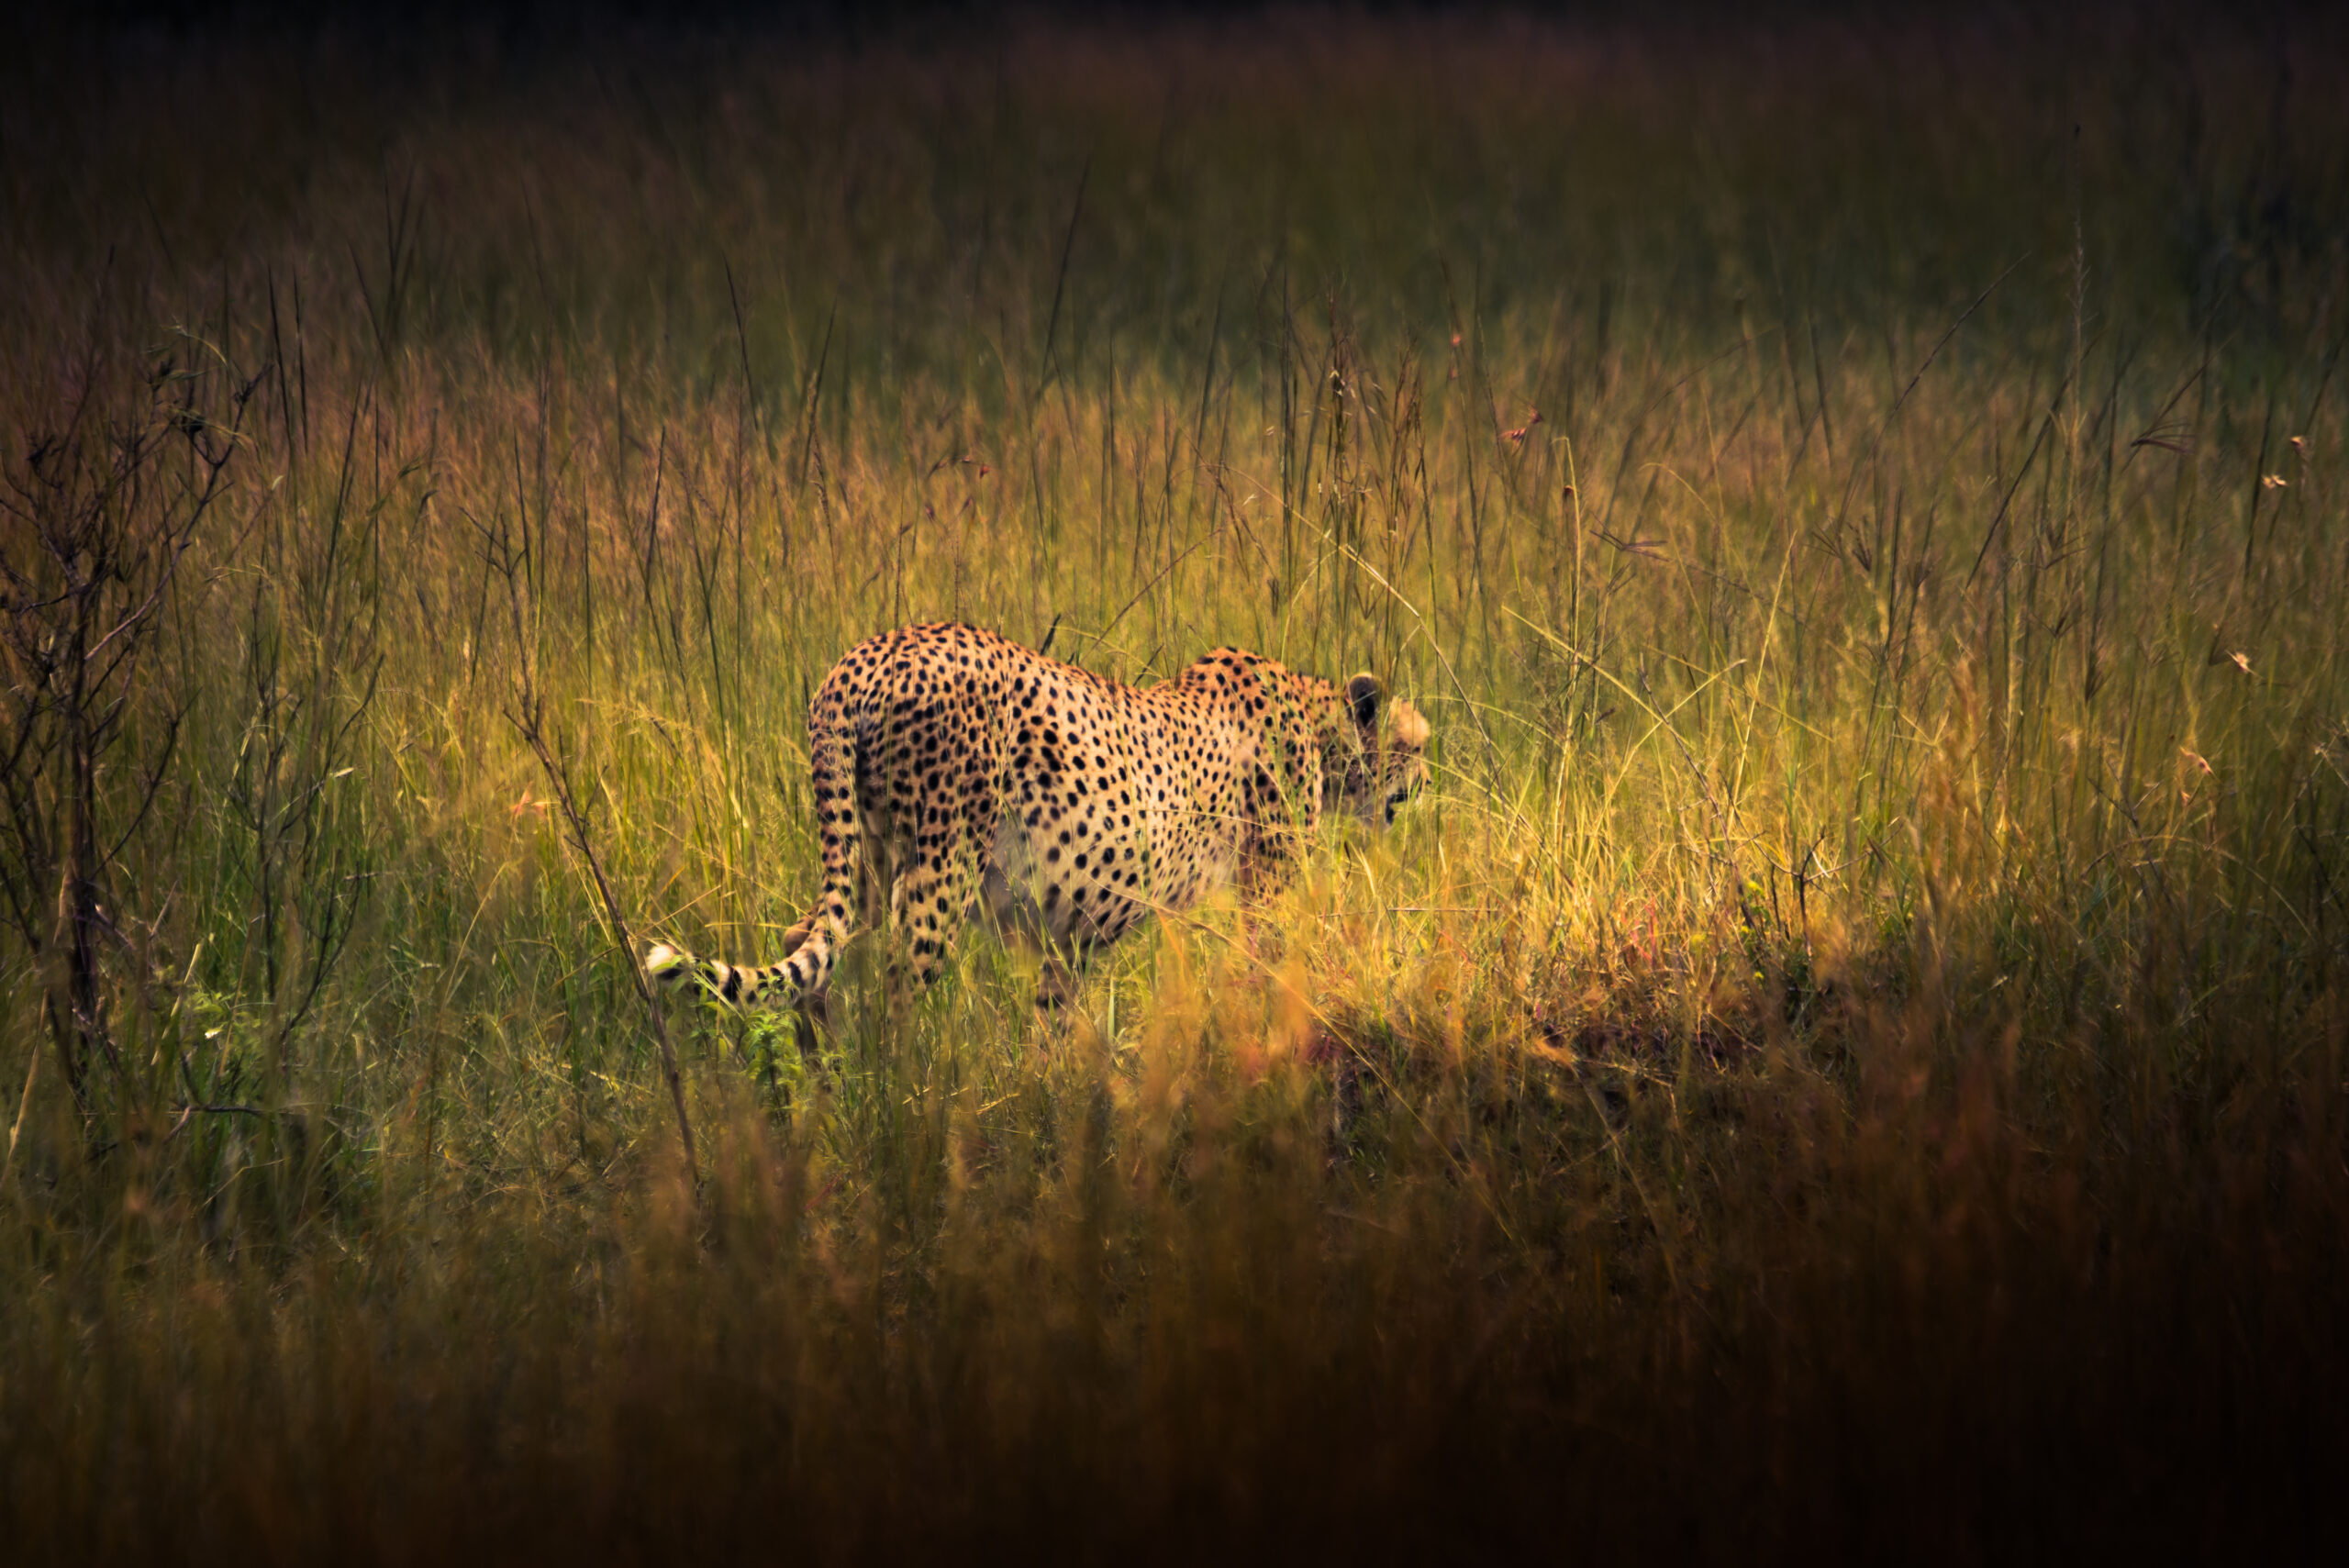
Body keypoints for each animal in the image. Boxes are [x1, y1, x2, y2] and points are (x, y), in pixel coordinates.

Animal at [644, 621, 1430, 1017]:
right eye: (1415, 745)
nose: (1429, 779)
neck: (1316, 718)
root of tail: (868, 655)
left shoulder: (1070, 935)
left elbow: (1059, 1017)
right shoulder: (1263, 889)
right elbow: (1270, 967)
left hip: (866, 851)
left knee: (807, 941)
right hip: (941, 863)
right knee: (897, 984)